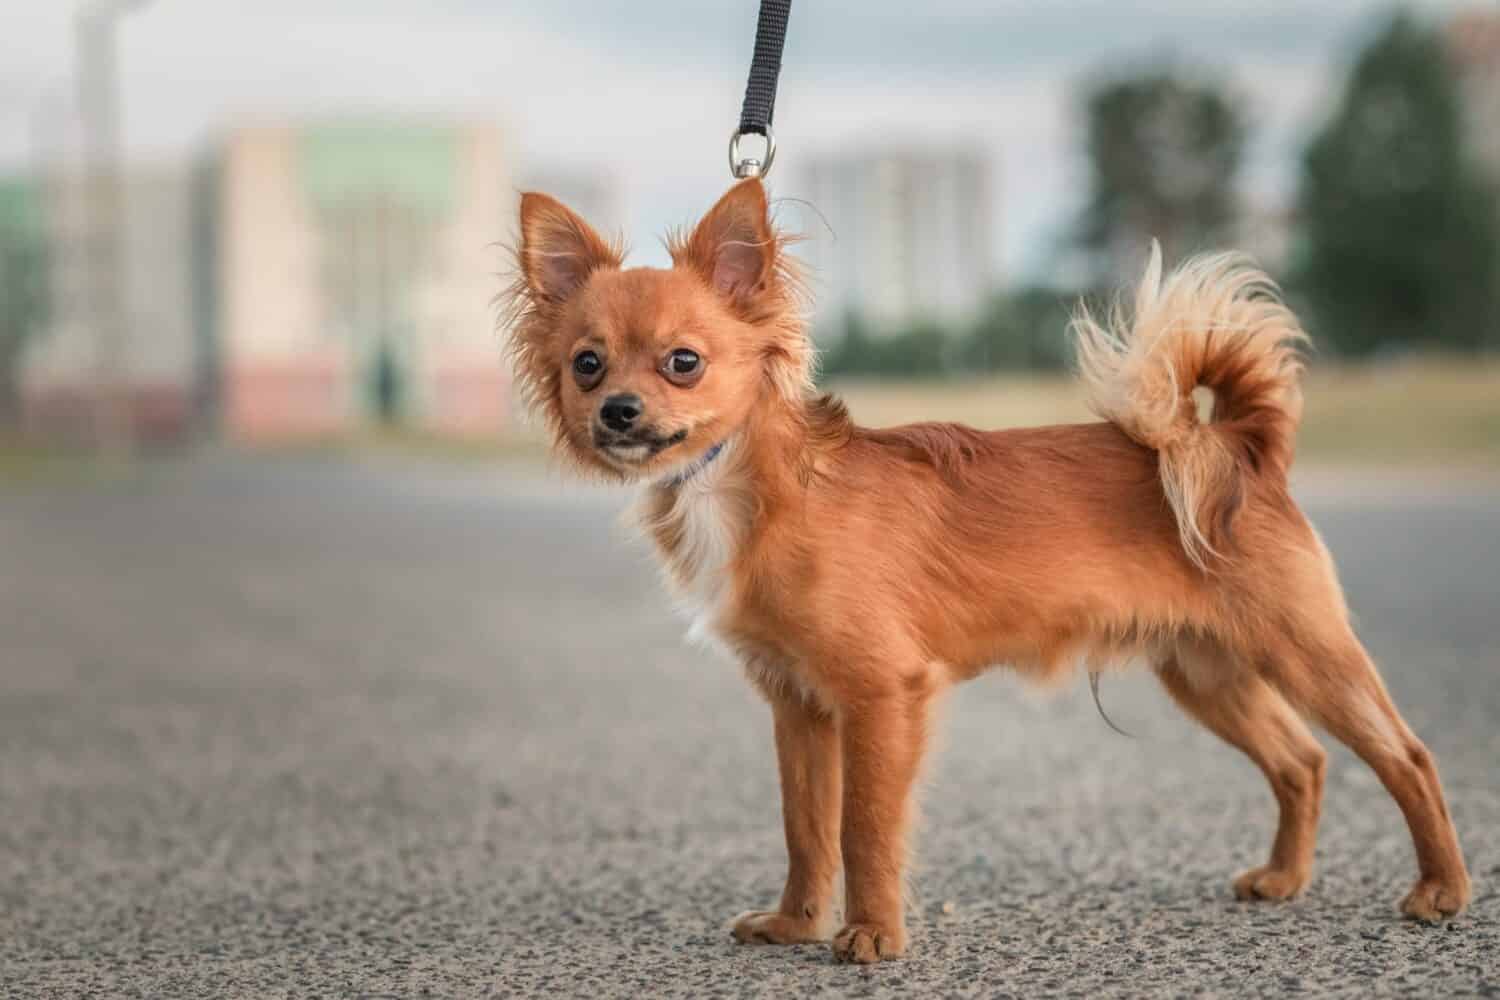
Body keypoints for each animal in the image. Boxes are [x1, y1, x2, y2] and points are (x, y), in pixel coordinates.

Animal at [498, 177, 1470, 959]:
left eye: (683, 363)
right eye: (586, 366)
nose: (618, 412)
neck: (749, 485)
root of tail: (1237, 446)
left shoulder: (882, 695)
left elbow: (864, 827)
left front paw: (871, 936)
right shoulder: (799, 707)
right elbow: (805, 826)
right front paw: (796, 924)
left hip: (1304, 652)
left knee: (1407, 755)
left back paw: (1441, 890)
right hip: (1205, 671)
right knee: (1301, 761)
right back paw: (1283, 879)